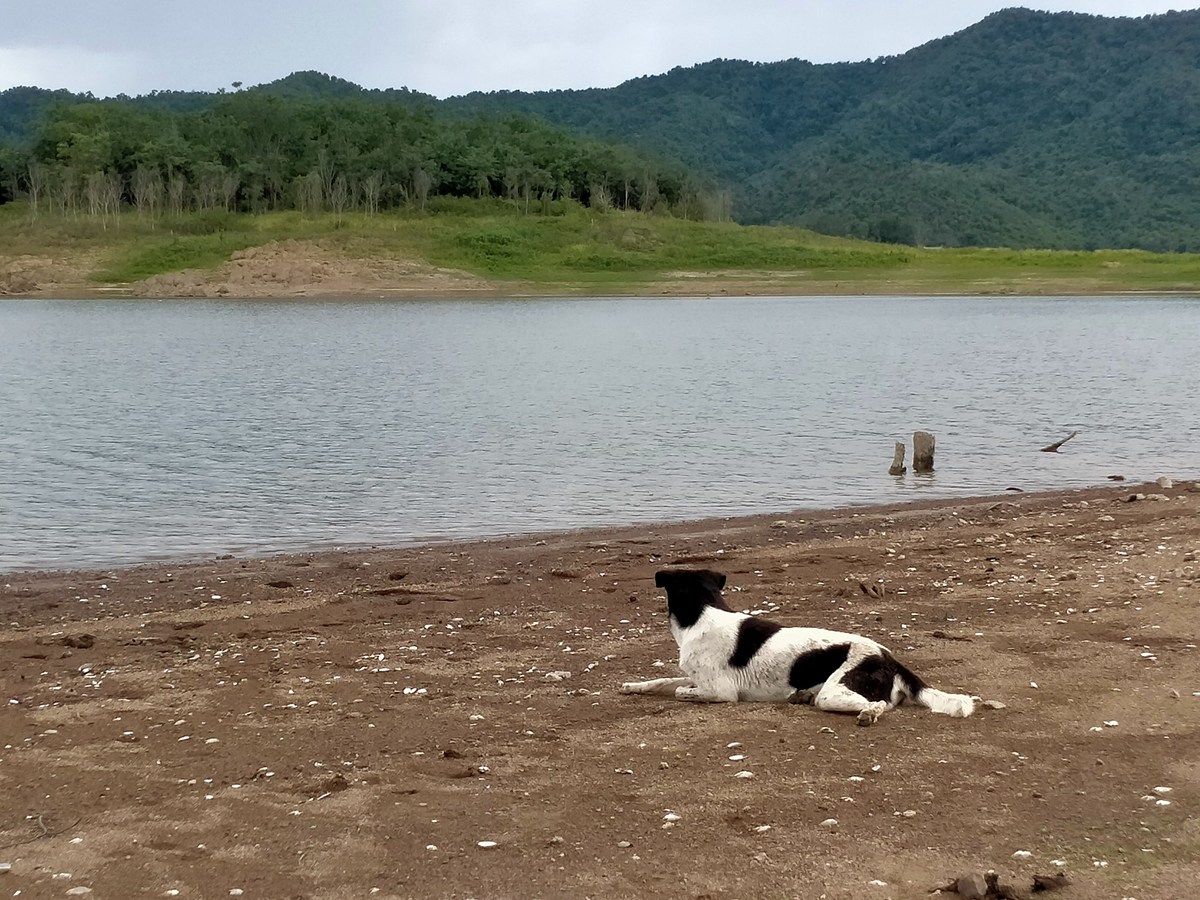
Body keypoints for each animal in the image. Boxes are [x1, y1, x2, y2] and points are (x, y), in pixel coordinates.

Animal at [619, 566, 974, 729]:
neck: (704, 611)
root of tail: (888, 657)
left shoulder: (720, 691)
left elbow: (681, 691)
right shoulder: (694, 677)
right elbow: (662, 681)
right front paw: (632, 686)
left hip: (835, 692)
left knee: (877, 706)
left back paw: (866, 715)